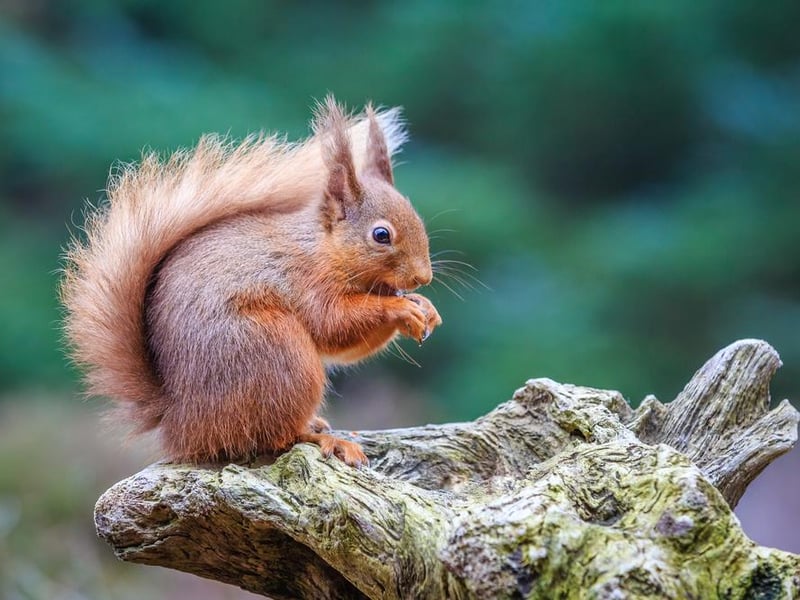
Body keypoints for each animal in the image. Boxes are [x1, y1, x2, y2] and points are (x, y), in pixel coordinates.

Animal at [61, 96, 441, 467]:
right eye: (381, 235)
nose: (423, 277)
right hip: (277, 354)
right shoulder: (304, 281)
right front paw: (399, 308)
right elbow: (333, 325)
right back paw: (323, 438)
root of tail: (180, 422)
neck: (323, 249)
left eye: (418, 219)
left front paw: (425, 309)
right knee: (275, 437)